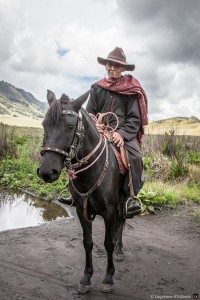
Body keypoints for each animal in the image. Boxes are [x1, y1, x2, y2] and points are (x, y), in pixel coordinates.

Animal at [37, 89, 130, 292]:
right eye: (44, 124)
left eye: (70, 126)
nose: (47, 171)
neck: (91, 172)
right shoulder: (82, 210)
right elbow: (87, 243)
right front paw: (86, 278)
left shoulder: (109, 211)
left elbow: (107, 244)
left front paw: (108, 278)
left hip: (122, 200)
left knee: (121, 221)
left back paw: (120, 250)